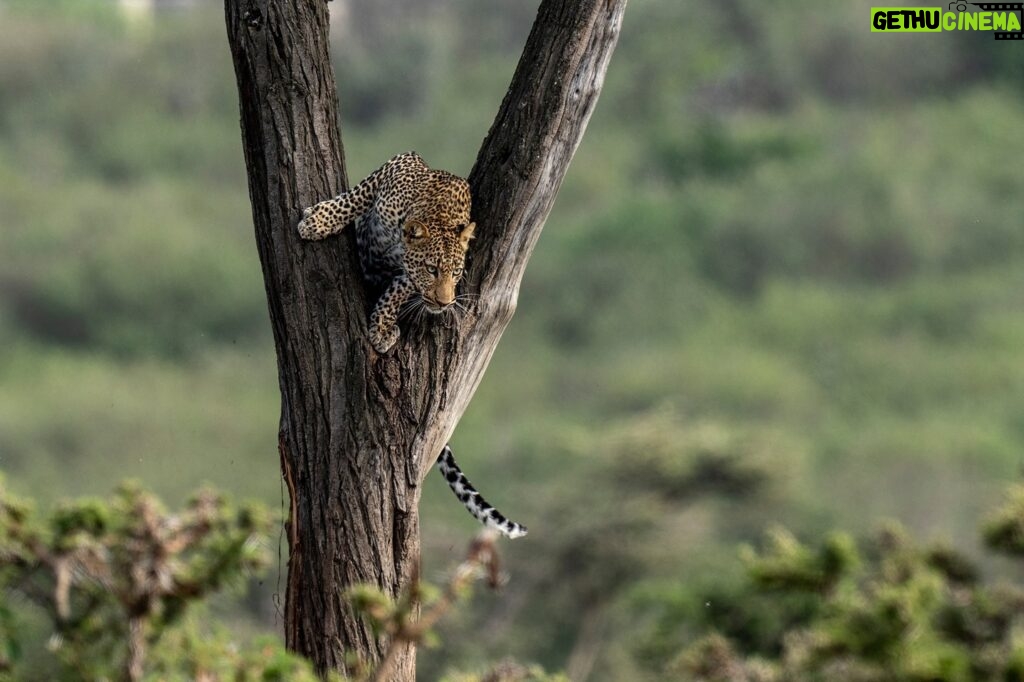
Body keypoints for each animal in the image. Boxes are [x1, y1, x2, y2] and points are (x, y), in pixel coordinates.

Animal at [296, 150, 528, 536]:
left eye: (456, 273)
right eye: (433, 269)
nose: (445, 303)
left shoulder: (403, 275)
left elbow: (399, 289)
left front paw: (382, 326)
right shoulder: (399, 162)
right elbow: (355, 197)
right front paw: (318, 221)